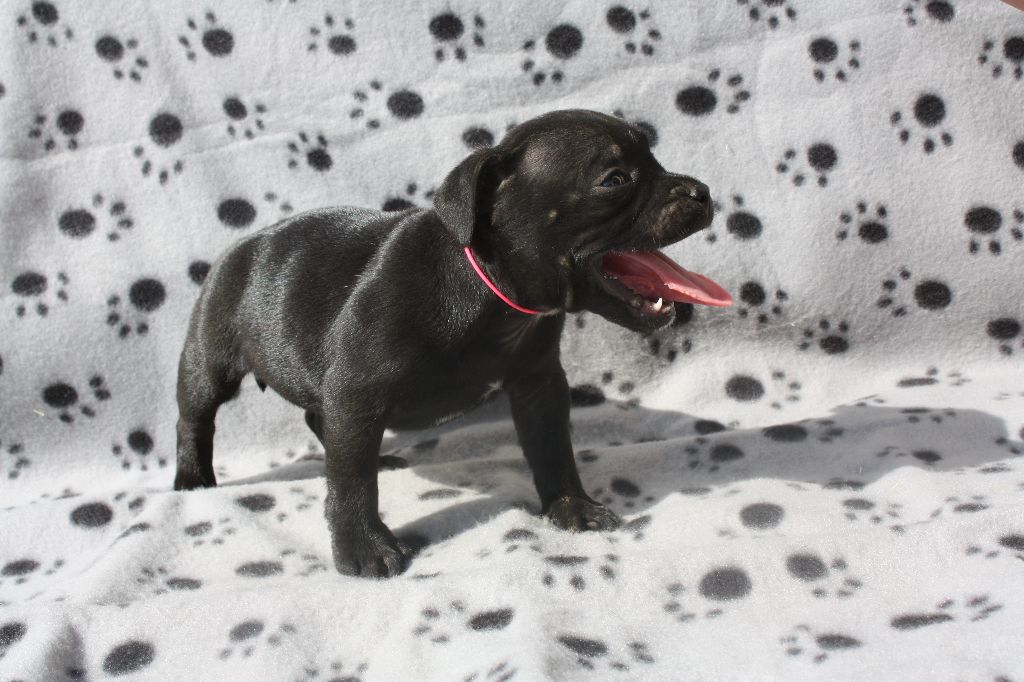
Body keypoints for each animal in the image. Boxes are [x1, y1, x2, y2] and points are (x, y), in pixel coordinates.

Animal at [173, 109, 732, 578]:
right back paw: (192, 483)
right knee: (197, 418)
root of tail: (237, 248)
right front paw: (362, 547)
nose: (703, 191)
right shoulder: (357, 390)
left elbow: (553, 448)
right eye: (614, 180)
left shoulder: (539, 383)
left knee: (320, 419)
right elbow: (352, 481)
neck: (488, 291)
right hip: (209, 354)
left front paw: (571, 507)